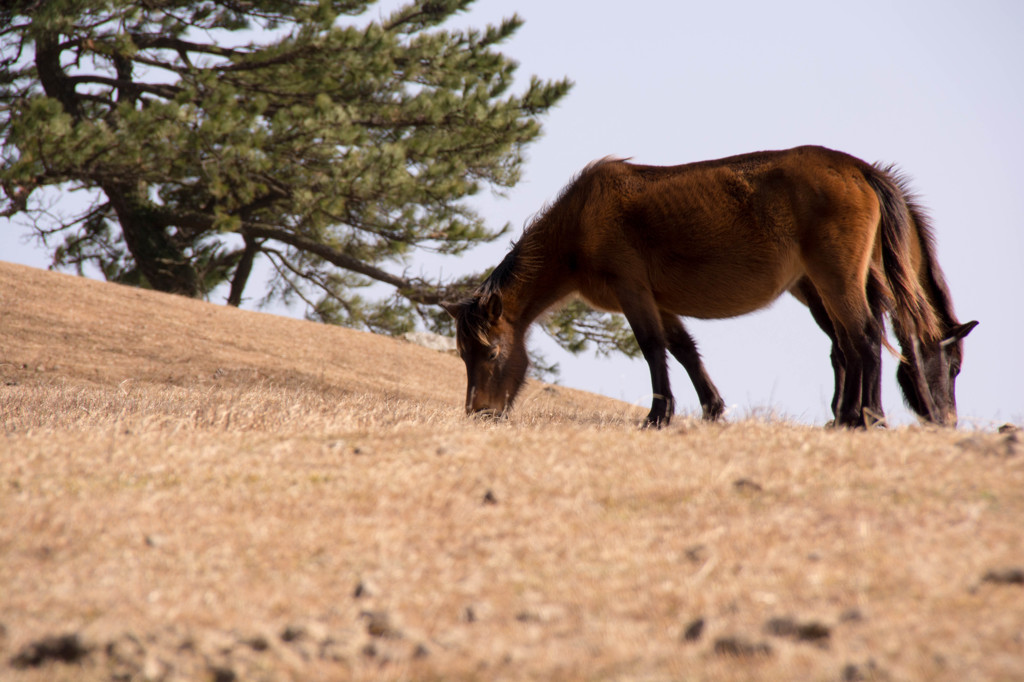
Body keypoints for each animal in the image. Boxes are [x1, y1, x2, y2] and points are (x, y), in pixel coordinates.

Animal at [442, 146, 974, 428]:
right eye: (465, 354)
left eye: (490, 352)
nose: (479, 412)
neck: (580, 223)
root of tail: (858, 168)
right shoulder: (658, 301)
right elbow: (684, 349)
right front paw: (712, 408)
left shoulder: (633, 292)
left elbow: (653, 349)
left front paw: (657, 416)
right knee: (851, 343)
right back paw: (849, 417)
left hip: (836, 281)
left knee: (863, 339)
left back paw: (867, 417)